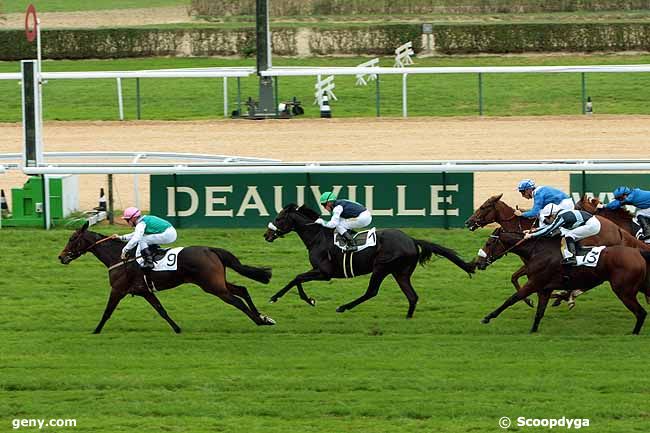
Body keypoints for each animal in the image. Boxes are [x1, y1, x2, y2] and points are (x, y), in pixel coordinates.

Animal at [58, 221, 276, 332]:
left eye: (72, 238)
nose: (61, 257)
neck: (117, 257)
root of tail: (210, 249)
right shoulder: (144, 291)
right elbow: (161, 310)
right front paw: (177, 328)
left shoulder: (118, 289)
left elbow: (107, 312)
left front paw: (95, 330)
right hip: (216, 282)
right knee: (242, 290)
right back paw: (264, 317)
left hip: (212, 286)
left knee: (236, 300)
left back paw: (259, 321)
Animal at [260, 202, 474, 318]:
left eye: (279, 219)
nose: (266, 235)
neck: (317, 237)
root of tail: (411, 239)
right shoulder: (320, 272)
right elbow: (297, 278)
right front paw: (306, 299)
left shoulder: (324, 272)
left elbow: (297, 278)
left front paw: (284, 298)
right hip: (400, 272)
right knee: (412, 296)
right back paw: (407, 317)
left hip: (381, 267)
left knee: (371, 291)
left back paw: (343, 307)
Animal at [476, 230, 648, 334]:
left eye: (489, 243)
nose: (478, 263)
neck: (537, 251)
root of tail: (638, 253)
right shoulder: (544, 289)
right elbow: (539, 312)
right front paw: (533, 330)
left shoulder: (534, 283)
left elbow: (512, 299)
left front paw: (488, 317)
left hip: (624, 291)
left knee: (641, 312)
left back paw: (633, 333)